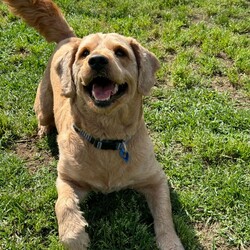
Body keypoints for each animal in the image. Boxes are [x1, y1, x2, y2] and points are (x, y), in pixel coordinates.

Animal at [3, 0, 184, 249]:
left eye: (120, 52)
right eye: (85, 54)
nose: (97, 60)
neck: (107, 135)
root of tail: (71, 39)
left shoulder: (156, 179)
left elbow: (165, 214)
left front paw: (171, 242)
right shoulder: (68, 179)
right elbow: (63, 204)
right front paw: (74, 233)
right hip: (43, 102)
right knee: (44, 117)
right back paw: (45, 128)